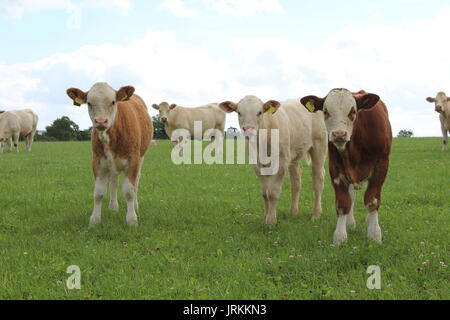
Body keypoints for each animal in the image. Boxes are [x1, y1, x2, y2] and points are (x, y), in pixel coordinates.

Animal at [65, 82, 153, 228]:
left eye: (113, 102)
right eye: (89, 103)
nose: (101, 121)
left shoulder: (133, 160)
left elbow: (129, 191)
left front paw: (132, 220)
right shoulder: (97, 161)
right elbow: (99, 193)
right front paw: (95, 220)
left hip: (141, 156)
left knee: (136, 182)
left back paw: (135, 205)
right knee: (113, 181)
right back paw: (113, 207)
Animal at [219, 96, 326, 226]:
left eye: (260, 112)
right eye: (239, 112)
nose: (248, 129)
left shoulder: (281, 163)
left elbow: (273, 193)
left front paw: (271, 221)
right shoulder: (257, 165)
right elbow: (265, 193)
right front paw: (266, 216)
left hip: (319, 146)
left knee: (318, 180)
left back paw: (316, 214)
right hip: (293, 155)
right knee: (296, 182)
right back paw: (293, 212)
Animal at [300, 89, 392, 246]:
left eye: (353, 111)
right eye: (325, 111)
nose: (339, 134)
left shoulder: (381, 166)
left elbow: (372, 200)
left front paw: (374, 234)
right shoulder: (335, 169)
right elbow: (343, 203)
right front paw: (340, 237)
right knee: (352, 196)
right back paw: (350, 223)